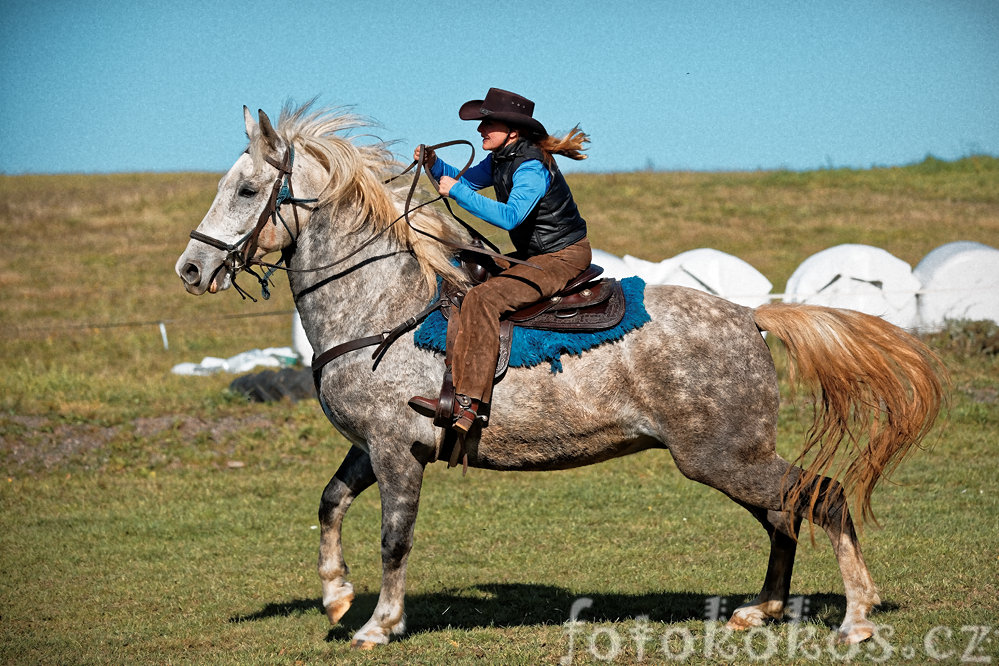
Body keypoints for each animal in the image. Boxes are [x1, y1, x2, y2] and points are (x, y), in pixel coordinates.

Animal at [178, 105, 944, 648]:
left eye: (246, 189)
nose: (190, 268)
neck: (381, 308)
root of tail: (749, 315)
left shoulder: (397, 452)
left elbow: (394, 538)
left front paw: (378, 624)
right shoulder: (371, 446)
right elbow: (330, 503)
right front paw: (337, 595)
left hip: (723, 456)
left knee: (823, 496)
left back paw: (856, 617)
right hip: (729, 458)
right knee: (786, 512)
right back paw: (762, 610)